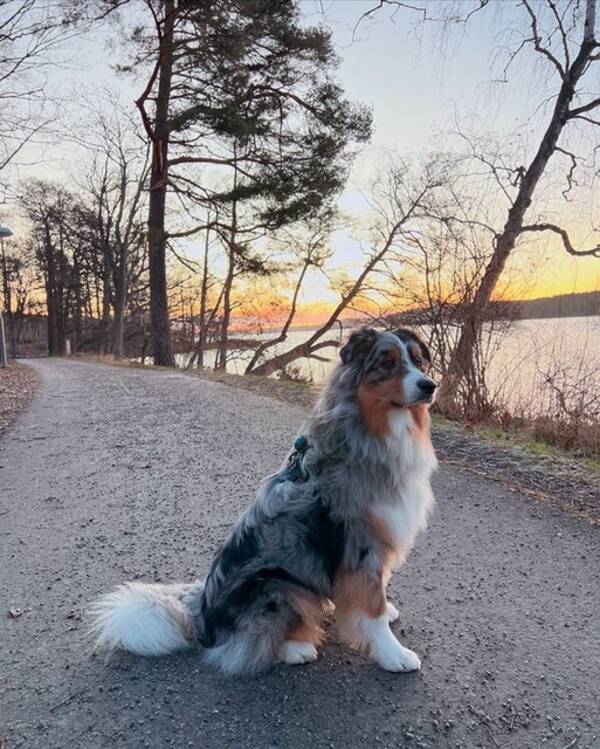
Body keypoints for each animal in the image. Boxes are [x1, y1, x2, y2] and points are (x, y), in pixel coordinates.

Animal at [92, 324, 440, 676]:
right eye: (387, 363)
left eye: (417, 361)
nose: (430, 385)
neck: (371, 428)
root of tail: (203, 612)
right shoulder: (361, 544)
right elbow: (372, 610)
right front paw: (394, 655)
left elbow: (376, 595)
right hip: (278, 585)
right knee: (251, 643)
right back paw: (297, 648)